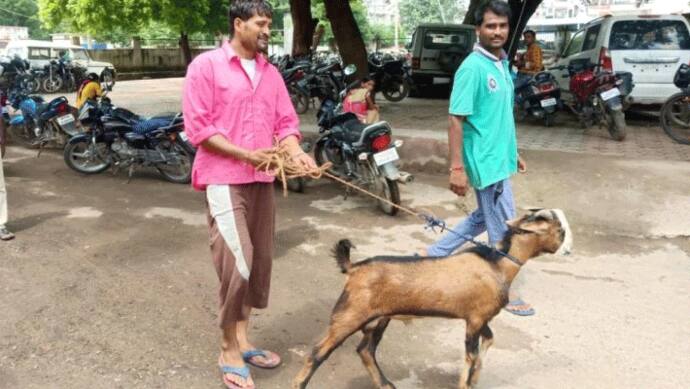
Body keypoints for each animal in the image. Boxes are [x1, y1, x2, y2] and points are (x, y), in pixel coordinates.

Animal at [292, 209, 572, 388]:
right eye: (559, 230)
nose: (568, 250)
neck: (497, 264)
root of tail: (354, 267)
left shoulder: (479, 318)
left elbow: (488, 342)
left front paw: (476, 378)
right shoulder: (474, 320)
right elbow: (470, 356)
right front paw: (466, 383)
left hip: (379, 317)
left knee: (365, 350)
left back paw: (386, 385)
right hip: (349, 315)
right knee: (317, 353)